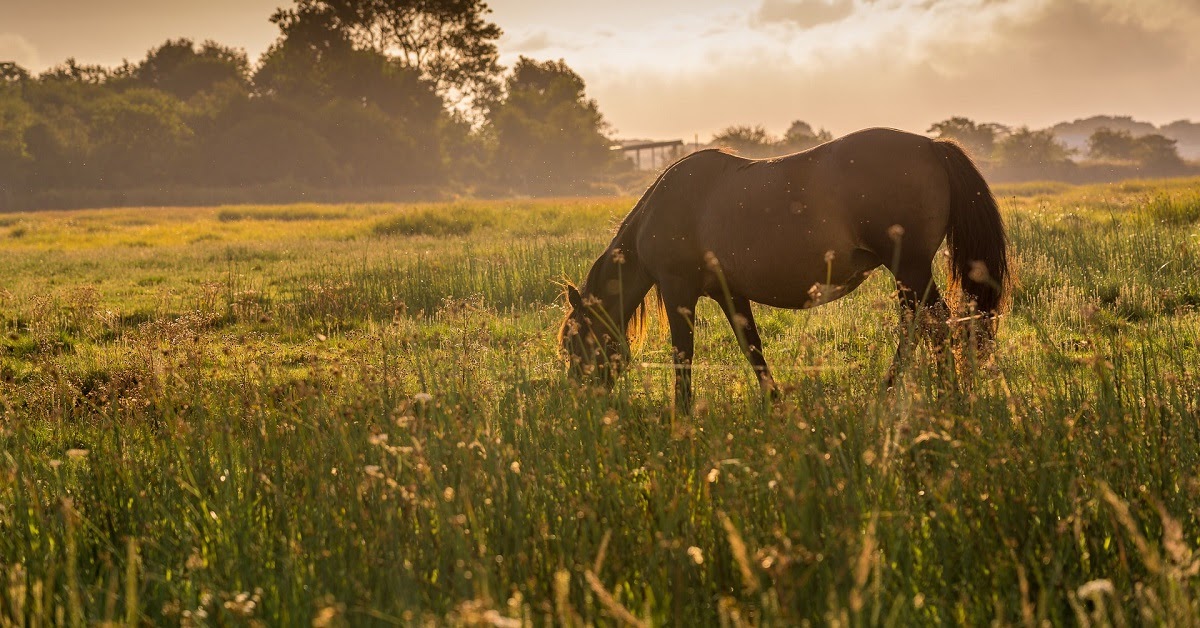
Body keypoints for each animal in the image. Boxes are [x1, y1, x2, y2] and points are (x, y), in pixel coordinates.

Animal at [556, 128, 1008, 413]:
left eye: (573, 341)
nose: (580, 399)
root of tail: (932, 146)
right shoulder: (729, 292)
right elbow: (751, 346)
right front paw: (774, 400)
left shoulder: (677, 290)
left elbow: (683, 354)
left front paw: (680, 414)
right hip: (908, 275)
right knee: (922, 326)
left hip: (910, 270)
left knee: (936, 325)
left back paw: (937, 392)